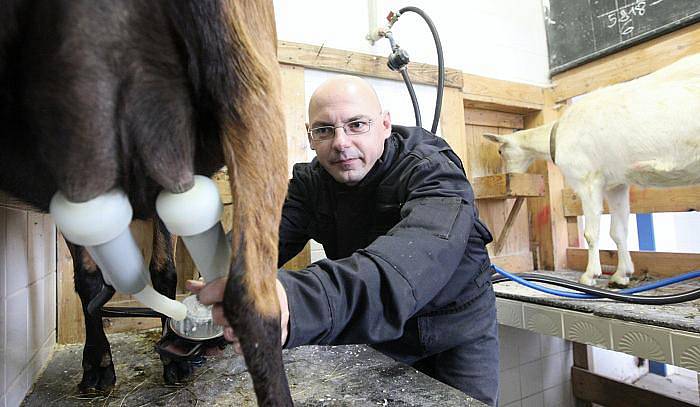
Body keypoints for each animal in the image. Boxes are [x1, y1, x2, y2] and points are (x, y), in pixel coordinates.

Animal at [484, 52, 700, 286]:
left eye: (500, 151)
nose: (508, 174)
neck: (557, 136)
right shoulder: (616, 185)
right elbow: (619, 231)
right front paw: (621, 275)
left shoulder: (587, 179)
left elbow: (590, 232)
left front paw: (590, 275)